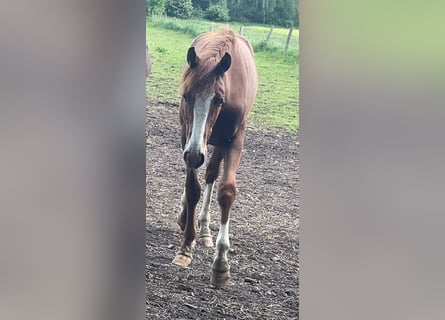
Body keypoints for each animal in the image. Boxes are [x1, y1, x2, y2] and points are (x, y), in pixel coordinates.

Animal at [173, 28, 256, 286]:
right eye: (186, 96)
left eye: (218, 99)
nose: (193, 155)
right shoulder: (187, 137)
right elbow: (192, 189)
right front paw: (185, 248)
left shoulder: (234, 139)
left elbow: (226, 191)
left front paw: (221, 263)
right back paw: (186, 218)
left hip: (218, 144)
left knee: (211, 174)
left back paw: (205, 229)